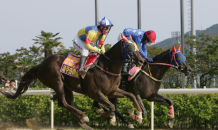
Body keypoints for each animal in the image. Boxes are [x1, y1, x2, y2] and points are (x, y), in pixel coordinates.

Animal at [0, 37, 145, 129]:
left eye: (137, 46)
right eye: (129, 46)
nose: (141, 60)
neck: (107, 67)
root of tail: (40, 64)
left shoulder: (112, 91)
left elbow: (131, 95)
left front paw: (138, 116)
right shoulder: (95, 93)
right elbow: (112, 106)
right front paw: (102, 113)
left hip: (67, 87)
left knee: (65, 104)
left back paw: (83, 122)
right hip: (57, 82)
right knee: (64, 103)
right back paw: (83, 116)